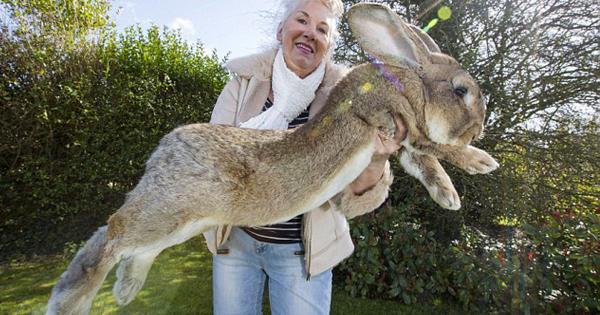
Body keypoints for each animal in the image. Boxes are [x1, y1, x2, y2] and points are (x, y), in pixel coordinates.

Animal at [45, 3, 496, 315]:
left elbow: (424, 163)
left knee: (131, 246)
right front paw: (482, 161)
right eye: (461, 91)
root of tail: (161, 154)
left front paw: (449, 196)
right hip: (169, 210)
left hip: (181, 223)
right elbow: (437, 148)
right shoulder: (397, 121)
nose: (479, 128)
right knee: (113, 233)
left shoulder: (402, 142)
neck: (406, 81)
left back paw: (124, 290)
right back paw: (72, 301)